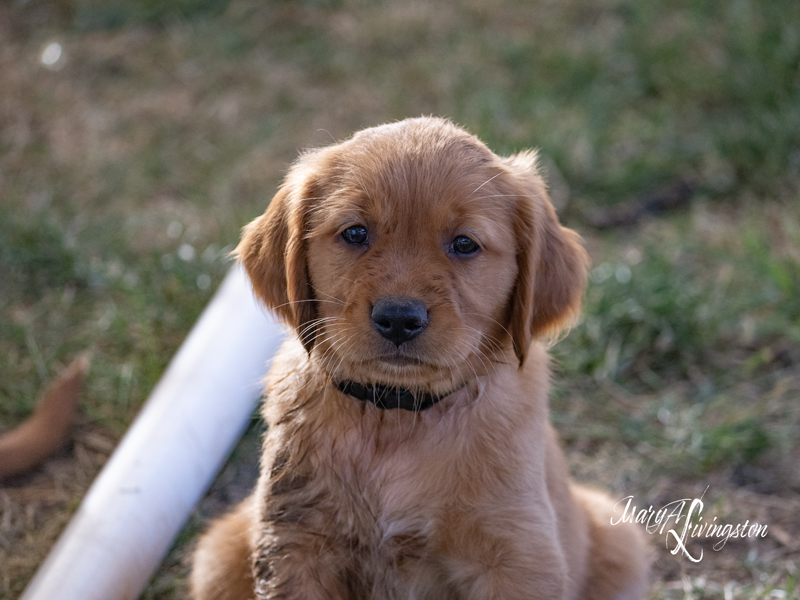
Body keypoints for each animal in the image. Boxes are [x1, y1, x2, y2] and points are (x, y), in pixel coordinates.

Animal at [192, 117, 648, 600]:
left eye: (464, 244)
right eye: (355, 233)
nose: (398, 319)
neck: (397, 415)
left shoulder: (517, 554)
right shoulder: (295, 542)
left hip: (621, 540)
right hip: (219, 552)